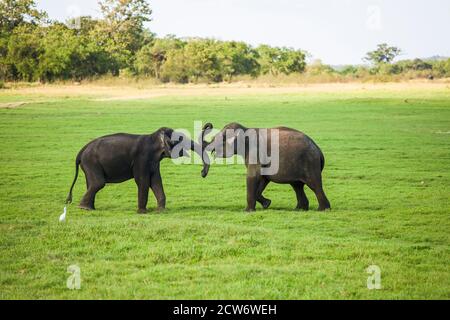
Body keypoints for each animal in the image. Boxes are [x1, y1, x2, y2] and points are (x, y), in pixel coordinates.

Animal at [66, 127, 210, 212]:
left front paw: (161, 211)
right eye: (180, 139)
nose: (202, 173)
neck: (153, 137)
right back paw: (84, 208)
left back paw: (89, 208)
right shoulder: (142, 159)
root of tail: (81, 151)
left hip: (90, 165)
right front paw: (143, 212)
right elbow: (143, 181)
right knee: (98, 183)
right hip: (91, 163)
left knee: (91, 184)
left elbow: (156, 181)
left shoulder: (153, 162)